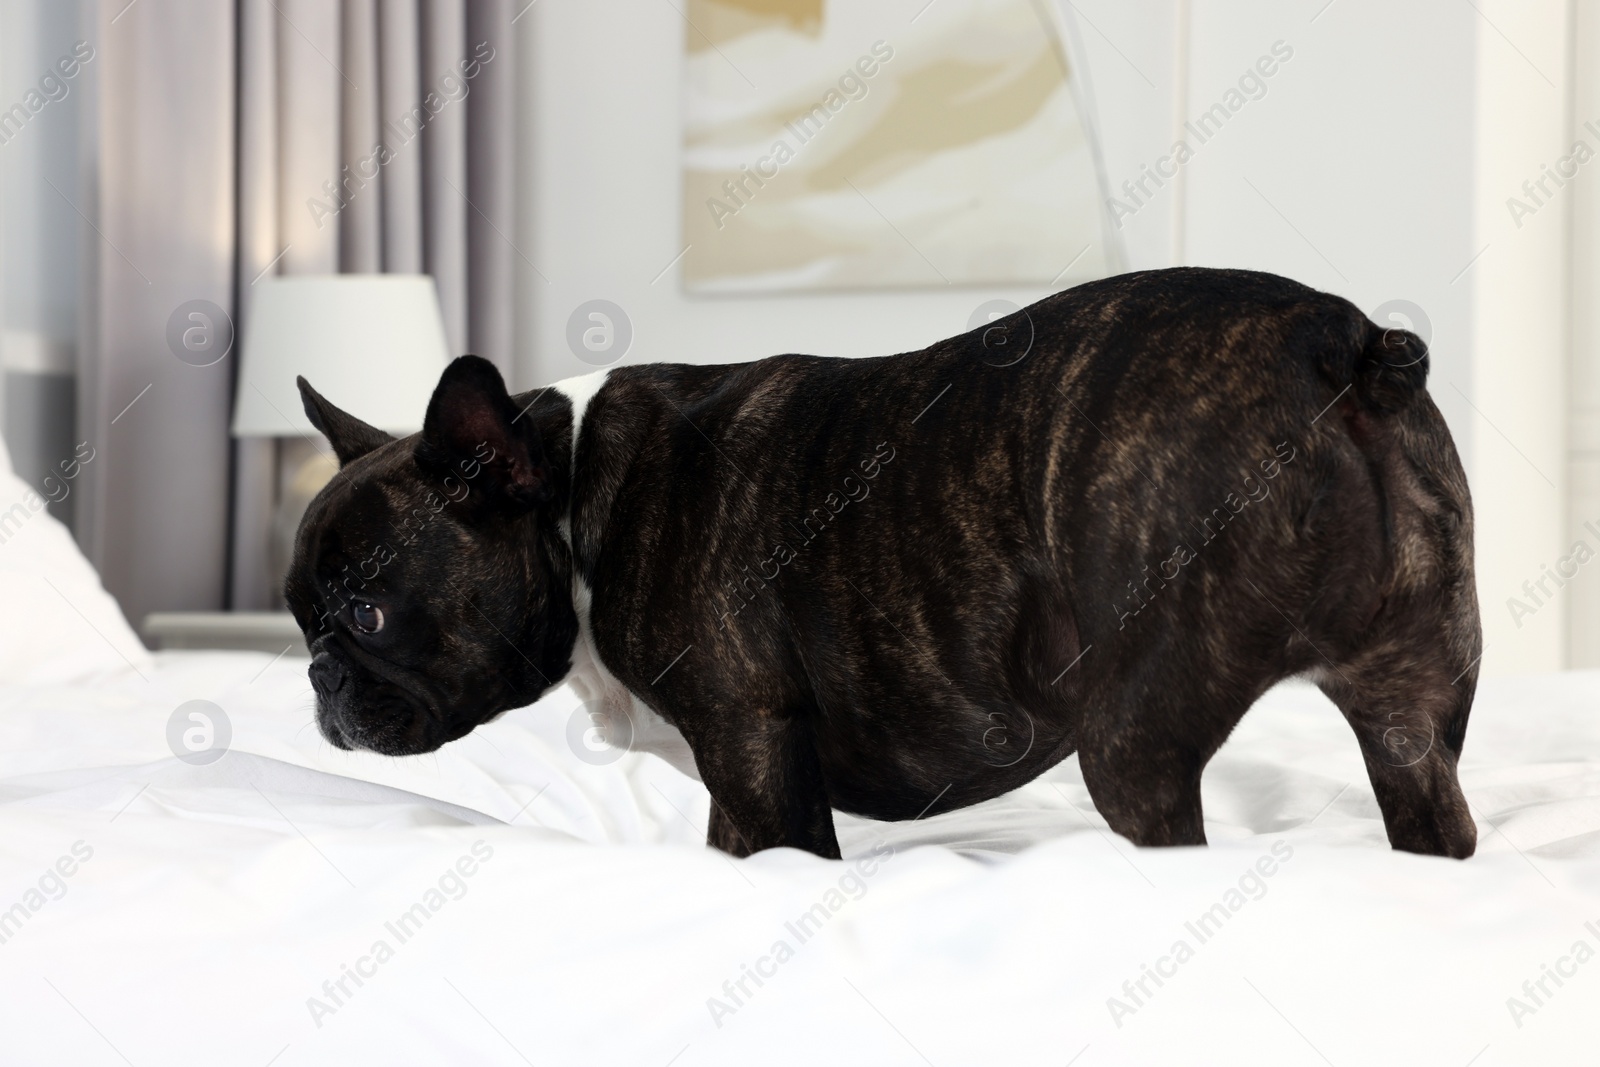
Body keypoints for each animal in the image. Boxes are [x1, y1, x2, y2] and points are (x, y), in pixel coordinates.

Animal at [284, 267, 1472, 857]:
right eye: (298, 613)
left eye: (372, 615)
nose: (318, 678)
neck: (572, 493)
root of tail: (1348, 347)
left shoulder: (755, 752)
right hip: (1416, 706)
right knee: (1430, 808)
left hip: (1134, 731)